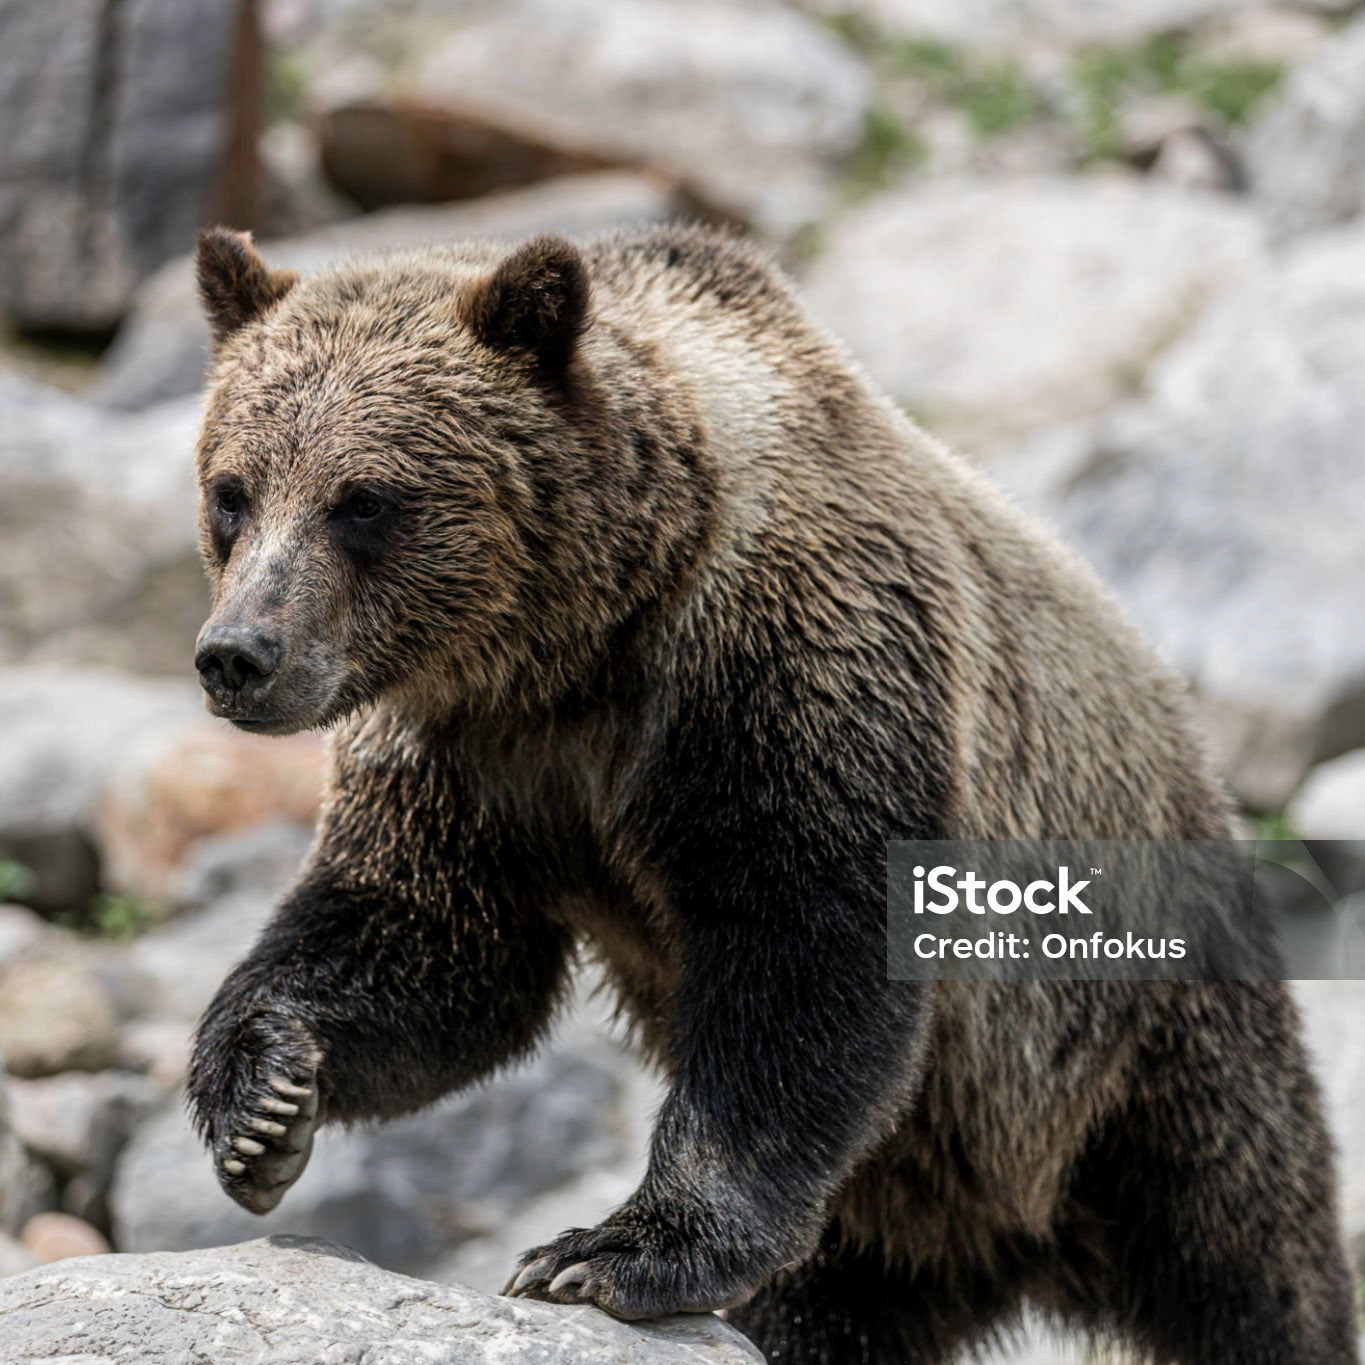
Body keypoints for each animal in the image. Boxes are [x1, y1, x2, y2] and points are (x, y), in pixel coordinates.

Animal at [184, 222, 1358, 1364]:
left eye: (365, 500)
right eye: (231, 491)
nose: (239, 654)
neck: (579, 649)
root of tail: (1015, 1242)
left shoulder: (785, 672)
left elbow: (802, 954)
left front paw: (611, 1250)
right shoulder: (472, 757)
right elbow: (430, 940)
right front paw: (262, 1101)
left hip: (1126, 1024)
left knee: (1241, 1242)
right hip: (891, 1223)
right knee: (821, 1308)